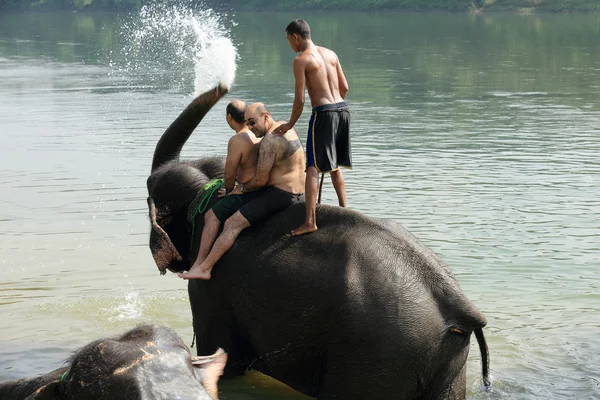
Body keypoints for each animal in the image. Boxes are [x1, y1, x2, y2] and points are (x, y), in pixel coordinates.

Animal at [148, 85, 490, 400]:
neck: (206, 185)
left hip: (379, 350)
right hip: (442, 360)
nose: (225, 88)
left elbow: (222, 359)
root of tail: (459, 305)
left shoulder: (211, 290)